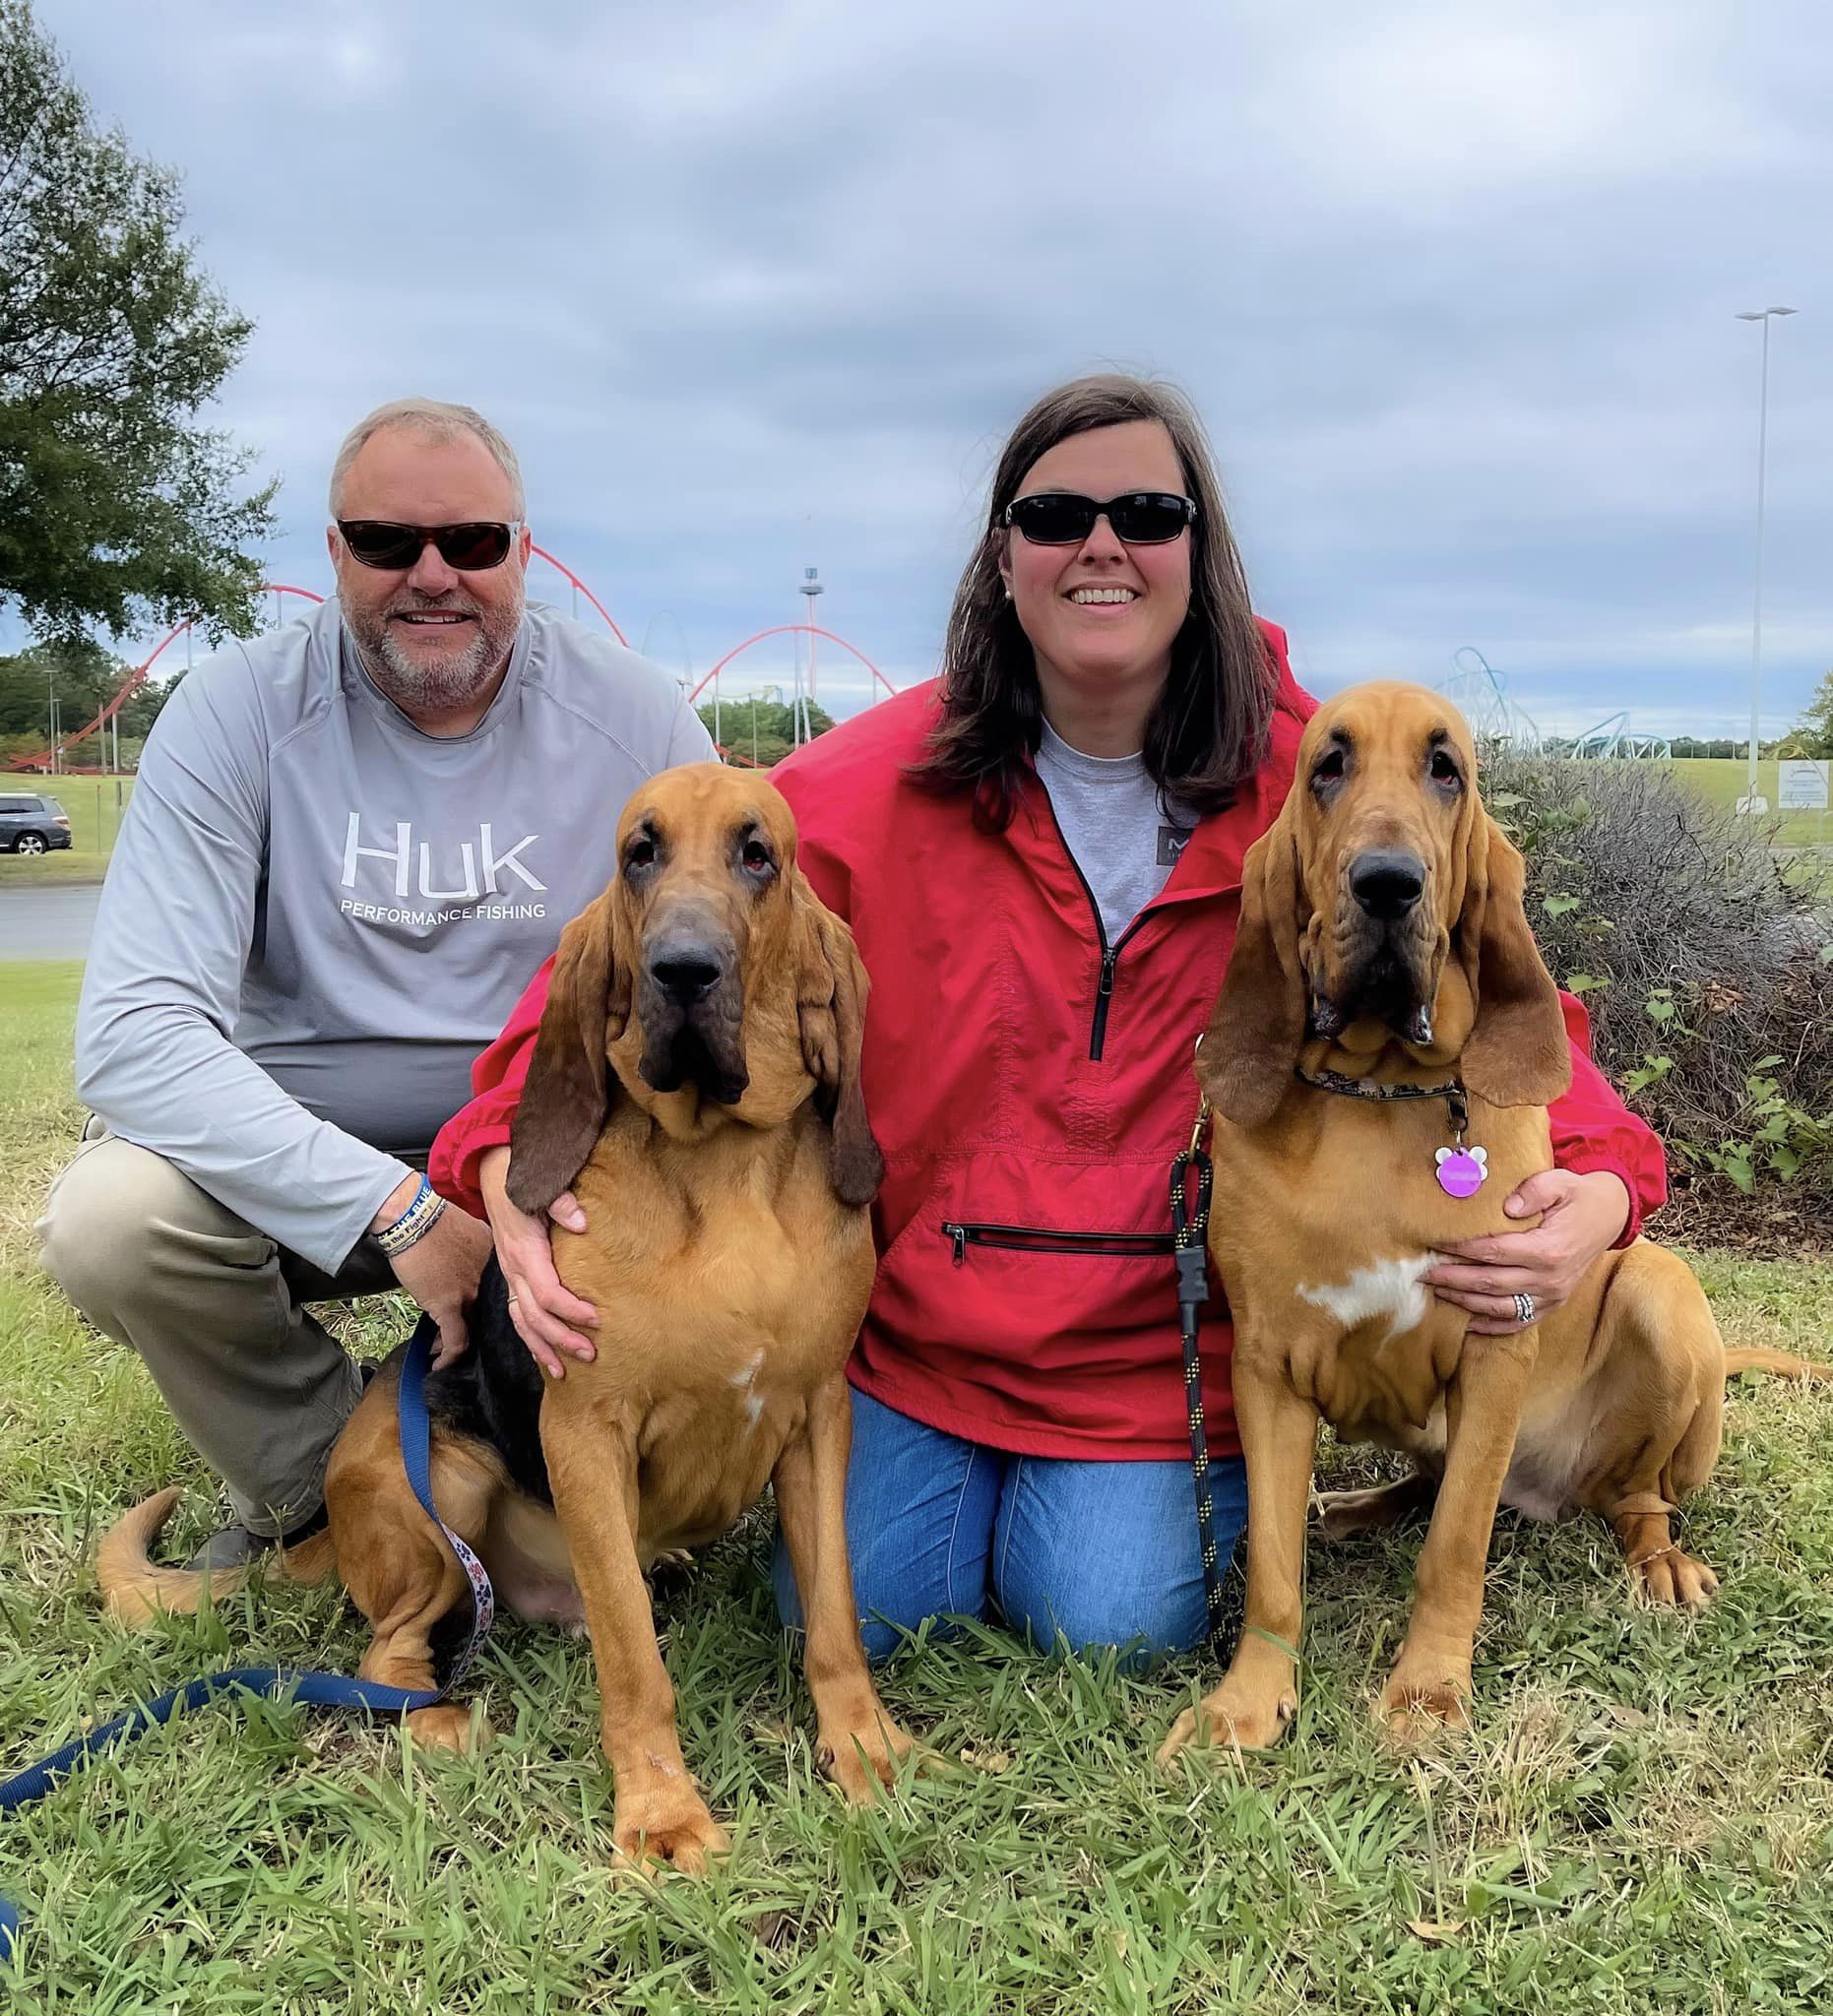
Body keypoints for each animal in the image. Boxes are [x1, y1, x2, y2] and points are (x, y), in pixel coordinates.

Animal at [99, 758, 915, 1870]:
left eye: (759, 854)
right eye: (640, 853)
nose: (681, 971)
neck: (721, 1163)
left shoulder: (817, 1418)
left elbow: (833, 1612)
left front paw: (865, 1746)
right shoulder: (584, 1433)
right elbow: (634, 1659)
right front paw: (660, 1812)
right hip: (442, 1483)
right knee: (390, 1652)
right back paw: (440, 1718)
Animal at [1161, 685, 1814, 1757]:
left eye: (1446, 770)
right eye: (1327, 766)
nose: (1388, 885)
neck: (1377, 1089)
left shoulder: (1494, 1345)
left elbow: (1455, 1545)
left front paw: (1427, 1689)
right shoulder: (1265, 1367)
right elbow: (1268, 1564)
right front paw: (1246, 1701)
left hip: (1658, 1293)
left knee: (1633, 1496)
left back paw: (1659, 1558)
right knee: (1418, 1488)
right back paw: (1350, 1506)